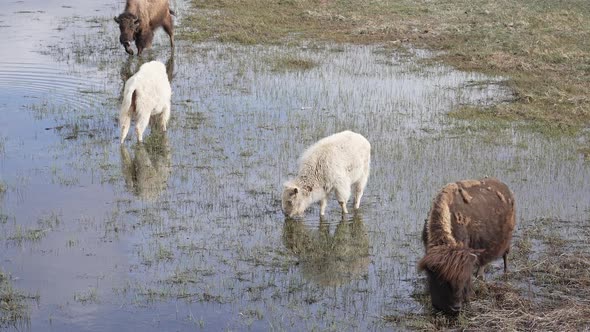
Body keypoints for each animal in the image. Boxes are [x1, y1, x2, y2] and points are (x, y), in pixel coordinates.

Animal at [418, 176, 516, 314]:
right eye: (441, 280)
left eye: (461, 280)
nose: (456, 307)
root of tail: (505, 188)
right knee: (483, 264)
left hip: (506, 242)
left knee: (505, 256)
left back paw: (505, 272)